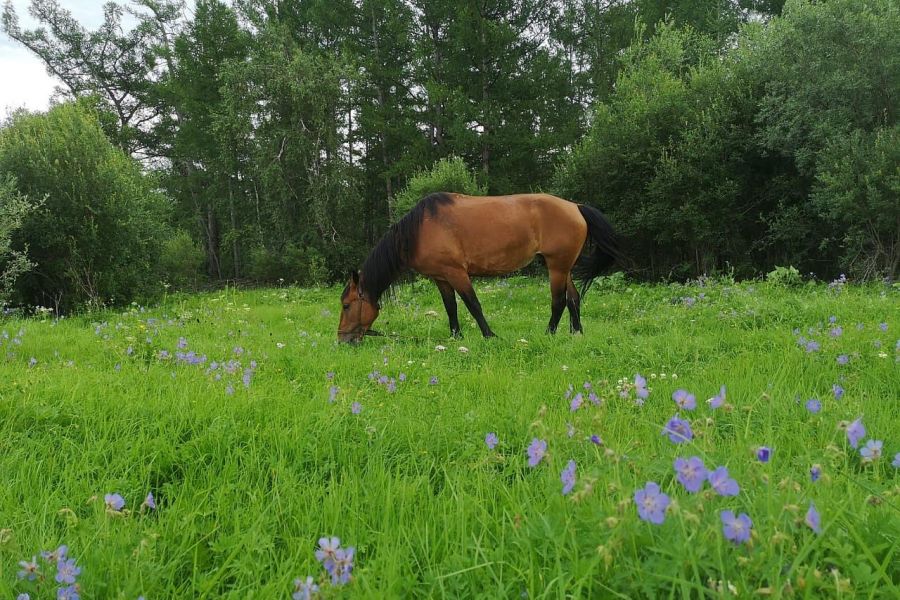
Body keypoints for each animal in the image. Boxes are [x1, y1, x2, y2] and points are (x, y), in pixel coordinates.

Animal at [338, 192, 620, 342]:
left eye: (347, 305)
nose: (342, 339)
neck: (419, 231)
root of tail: (575, 207)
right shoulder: (441, 278)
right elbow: (450, 307)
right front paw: (455, 337)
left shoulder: (456, 273)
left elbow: (473, 304)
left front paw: (489, 335)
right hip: (564, 267)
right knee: (573, 298)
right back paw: (576, 333)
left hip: (557, 267)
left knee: (559, 301)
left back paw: (549, 333)